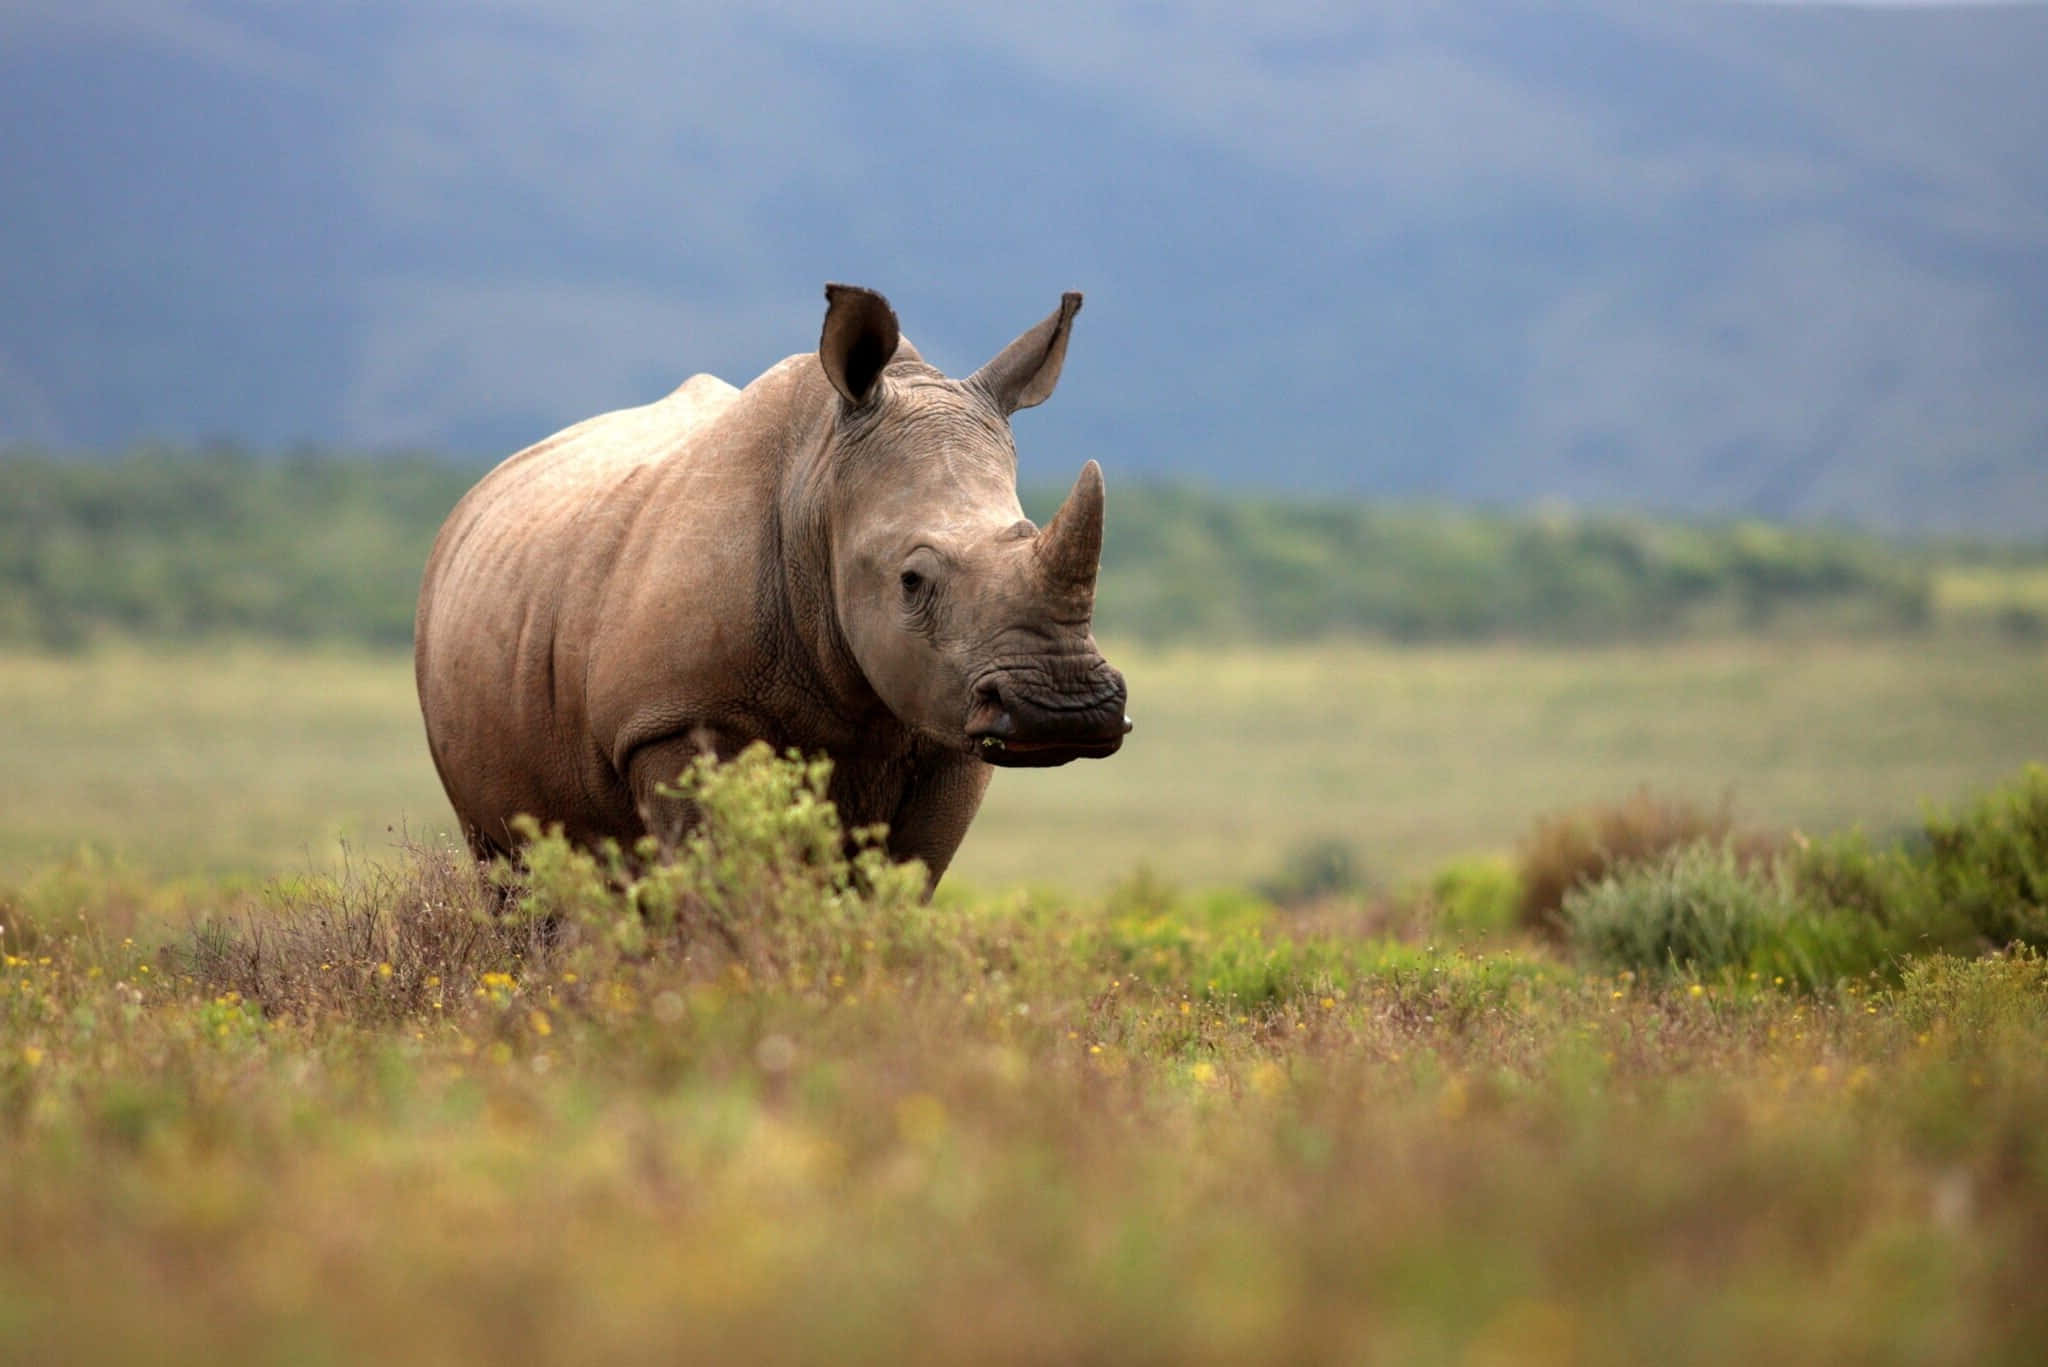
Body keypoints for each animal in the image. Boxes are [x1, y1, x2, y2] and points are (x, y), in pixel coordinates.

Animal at [414, 284, 1129, 889]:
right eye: (911, 580)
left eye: (1028, 533)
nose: (1064, 710)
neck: (818, 487)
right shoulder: (675, 720)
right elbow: (717, 884)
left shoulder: (947, 732)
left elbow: (893, 887)